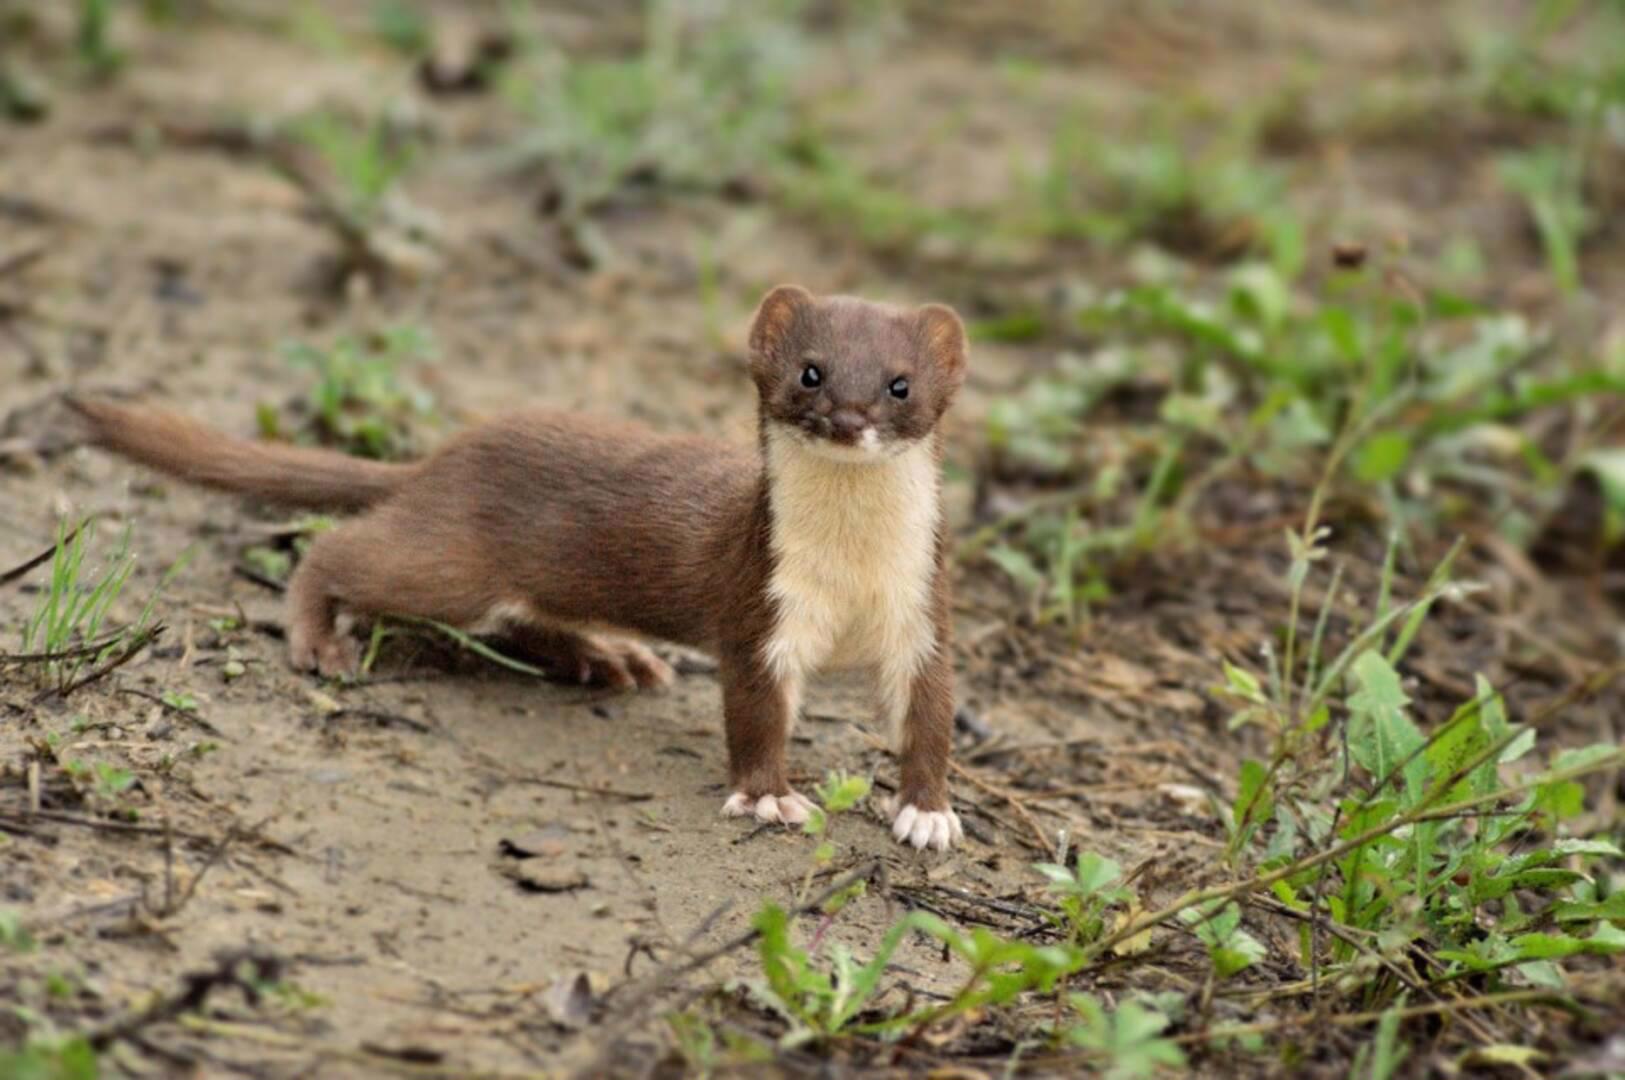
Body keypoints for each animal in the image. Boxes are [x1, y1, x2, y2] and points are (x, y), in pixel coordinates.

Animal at [66, 285, 962, 851]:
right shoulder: (759, 610)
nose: (847, 419)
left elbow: (929, 720)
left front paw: (928, 815)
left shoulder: (924, 615)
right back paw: (319, 640)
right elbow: (753, 713)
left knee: (525, 621)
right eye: (809, 371)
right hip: (448, 565)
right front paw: (769, 795)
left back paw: (610, 657)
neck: (851, 570)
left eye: (899, 385)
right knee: (338, 550)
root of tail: (444, 456)